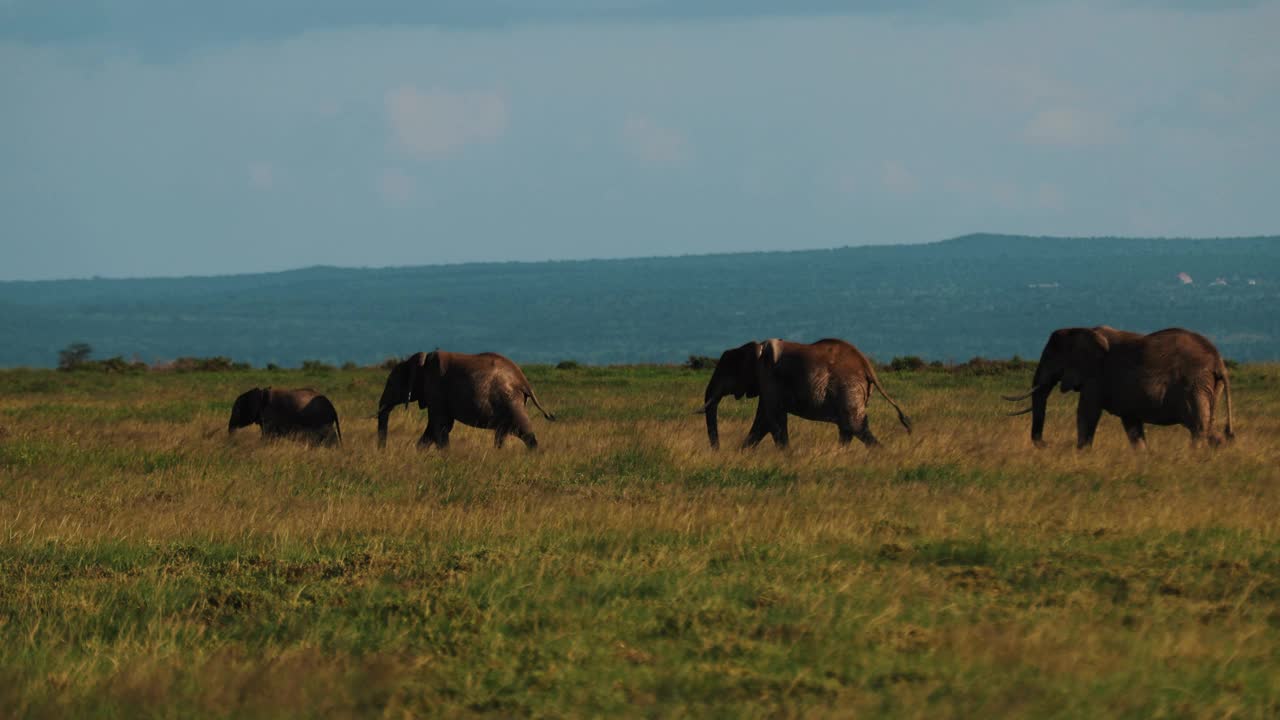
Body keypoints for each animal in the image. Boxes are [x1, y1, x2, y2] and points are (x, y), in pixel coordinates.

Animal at [378, 348, 560, 448]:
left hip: (510, 400)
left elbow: (440, 426)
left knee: (524, 432)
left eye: (391, 384)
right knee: (503, 433)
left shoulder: (436, 388)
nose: (383, 451)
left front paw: (446, 458)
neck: (421, 361)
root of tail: (524, 381)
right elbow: (437, 427)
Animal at [701, 338, 911, 448]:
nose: (718, 451)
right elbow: (765, 421)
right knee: (848, 429)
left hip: (848, 388)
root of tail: (867, 366)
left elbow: (771, 419)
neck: (755, 348)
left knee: (856, 427)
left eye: (727, 371)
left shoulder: (769, 378)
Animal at [1003, 326, 1233, 448]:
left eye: (1051, 357)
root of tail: (1218, 361)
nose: (1047, 444)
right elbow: (1132, 426)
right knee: (1208, 427)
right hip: (1208, 387)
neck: (1081, 330)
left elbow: (1086, 414)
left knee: (1198, 427)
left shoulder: (1096, 377)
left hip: (1194, 384)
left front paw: (1081, 454)